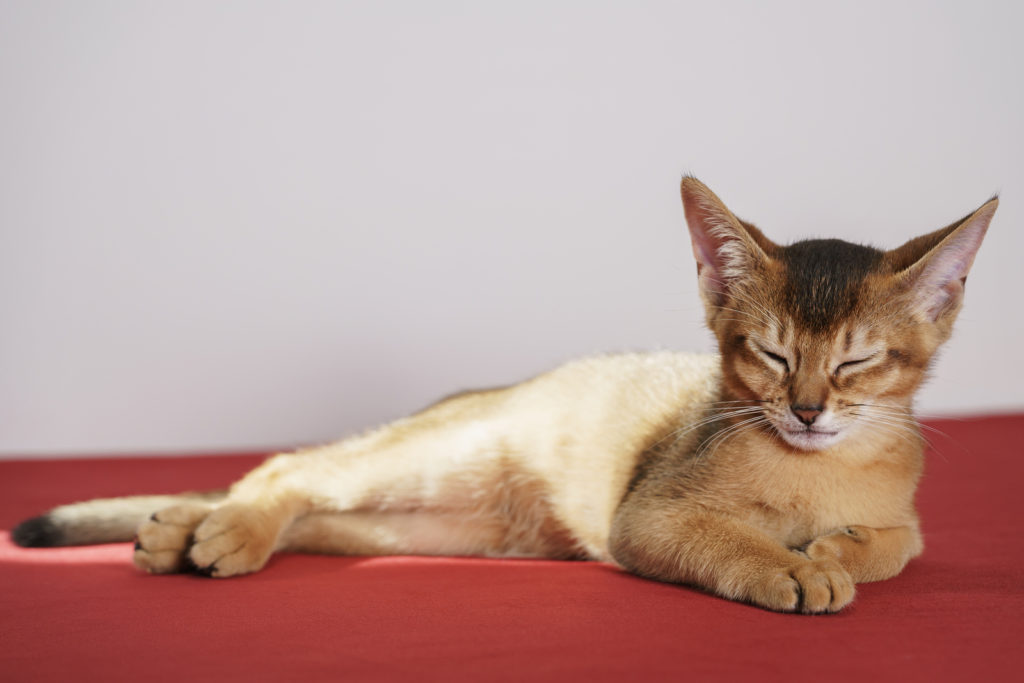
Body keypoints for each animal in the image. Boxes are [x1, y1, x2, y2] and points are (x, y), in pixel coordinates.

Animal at [12, 176, 995, 614]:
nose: (807, 410)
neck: (815, 471)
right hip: (431, 460)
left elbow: (899, 545)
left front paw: (838, 549)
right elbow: (732, 540)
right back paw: (222, 531)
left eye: (858, 363)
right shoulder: (649, 516)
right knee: (289, 469)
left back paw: (180, 530)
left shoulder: (906, 514)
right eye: (770, 353)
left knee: (316, 514)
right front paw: (795, 566)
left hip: (437, 529)